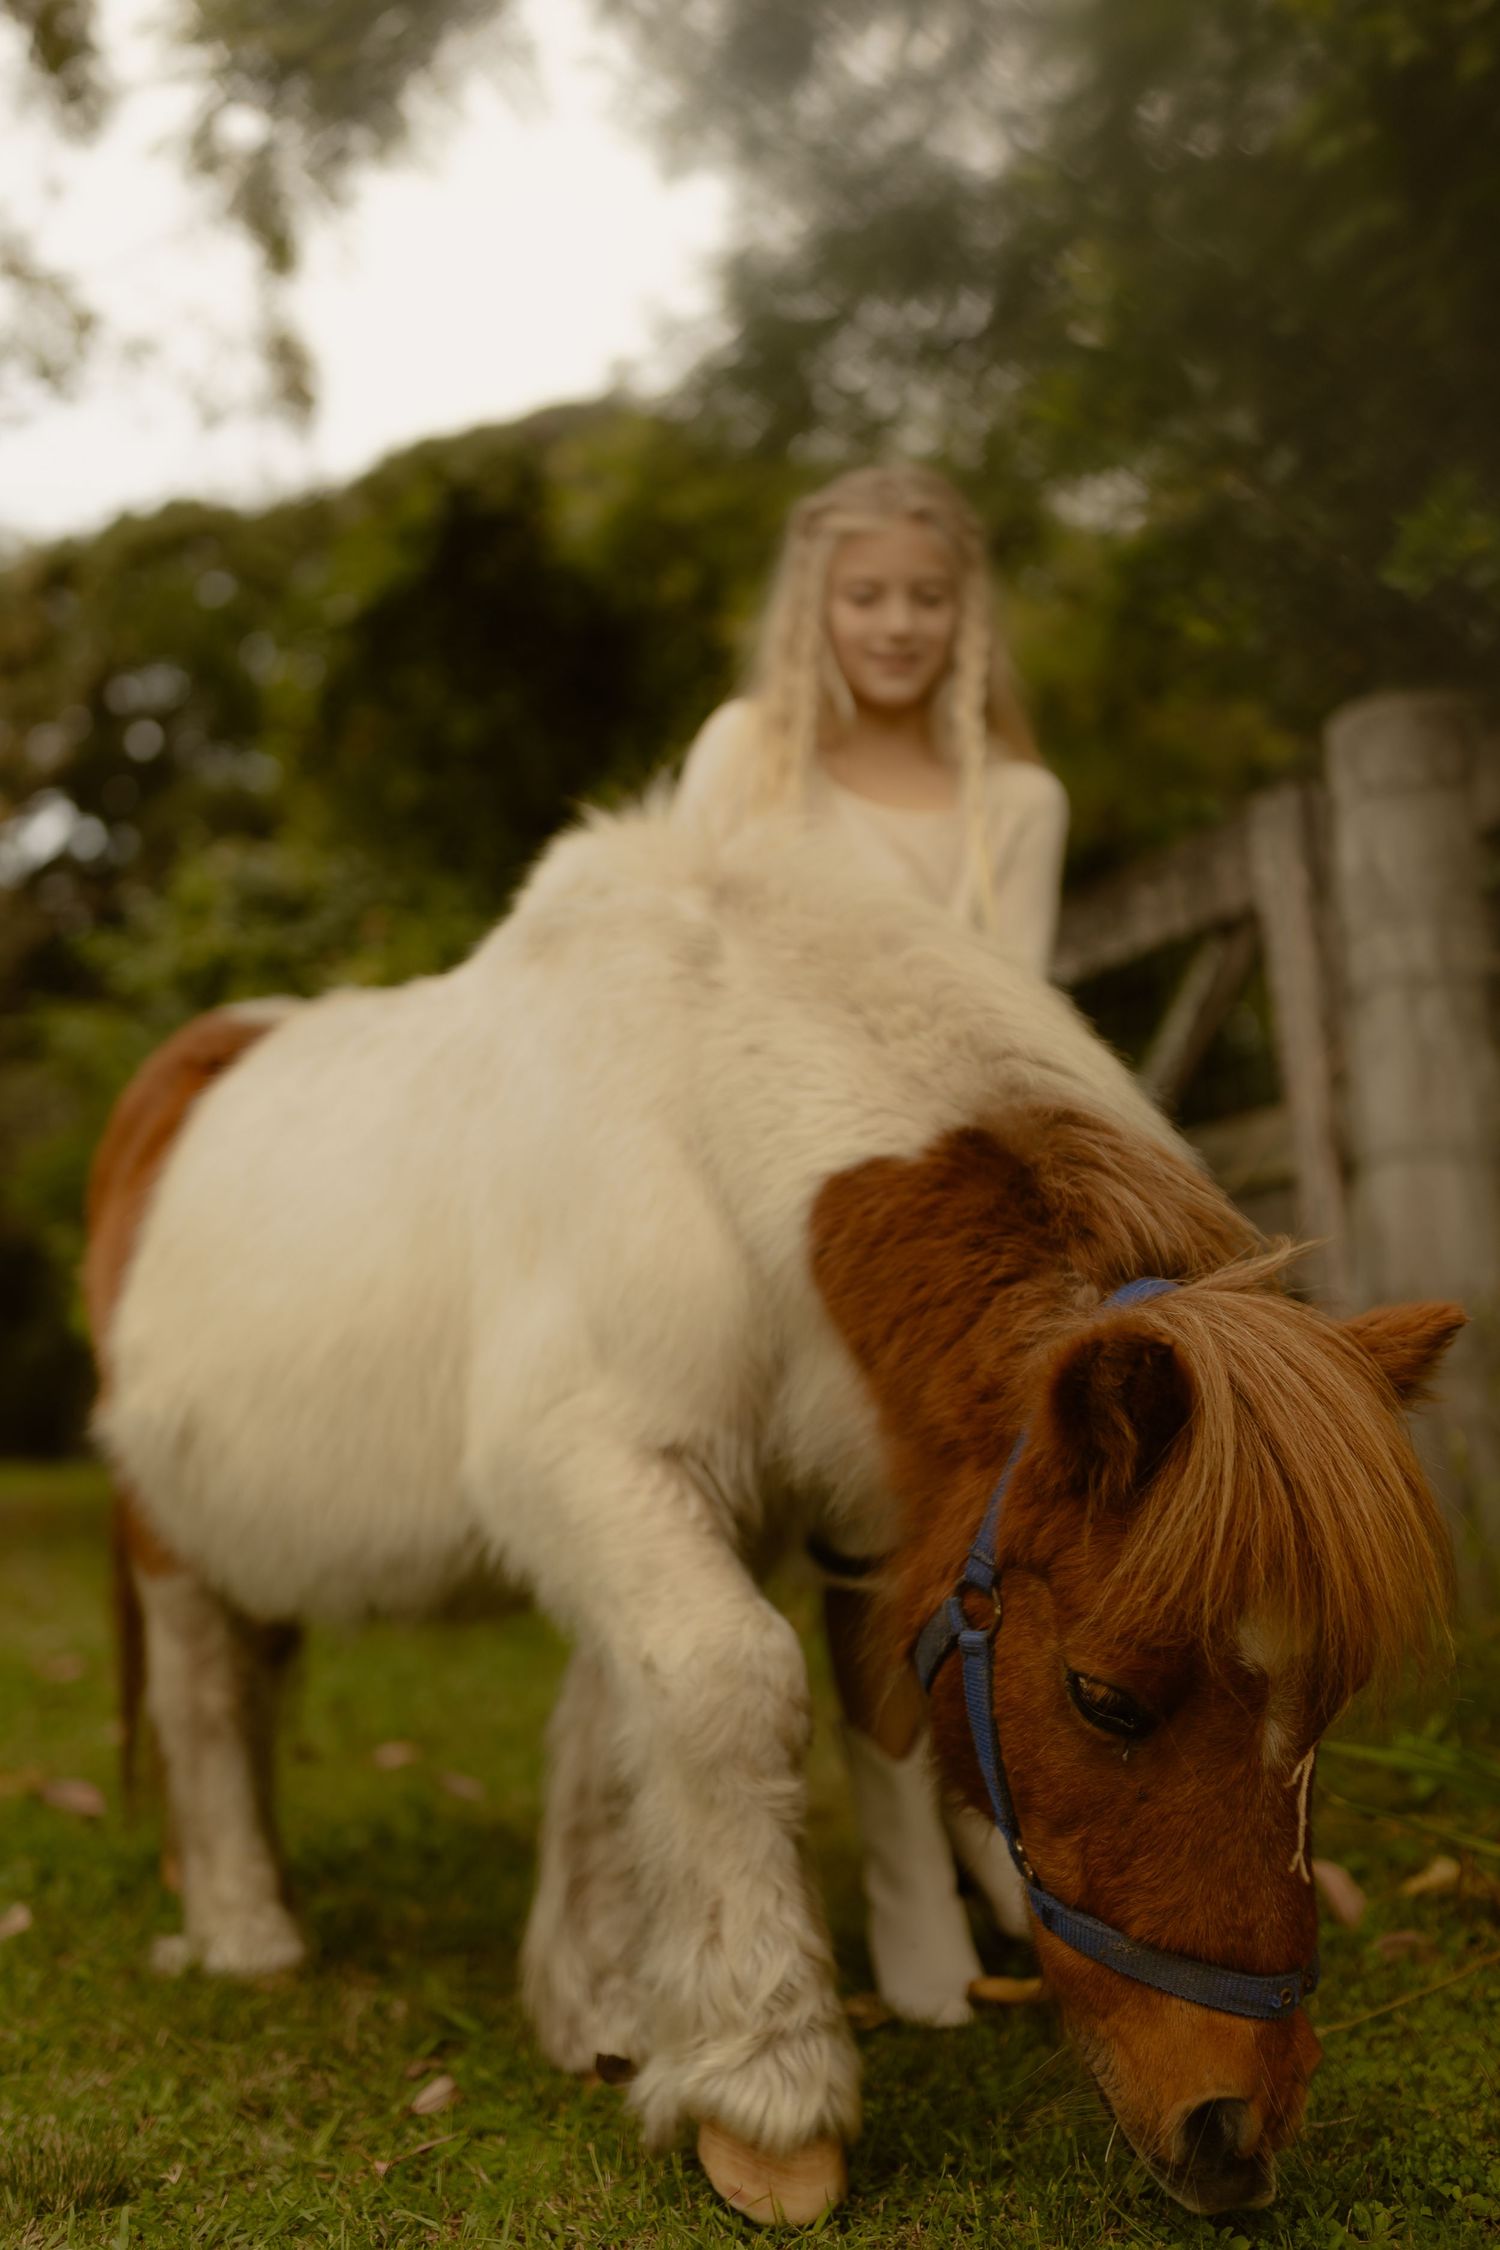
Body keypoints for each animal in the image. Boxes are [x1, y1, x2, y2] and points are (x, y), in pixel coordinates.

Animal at [85, 803, 1459, 2225]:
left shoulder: (695, 1506)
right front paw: (767, 2090)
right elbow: (727, 1686)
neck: (699, 1125)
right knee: (201, 1696)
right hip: (166, 1538)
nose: (1231, 2130)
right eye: (1105, 1699)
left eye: (1331, 1707)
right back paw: (247, 1931)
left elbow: (615, 1728)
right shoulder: (595, 1463)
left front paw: (601, 2008)